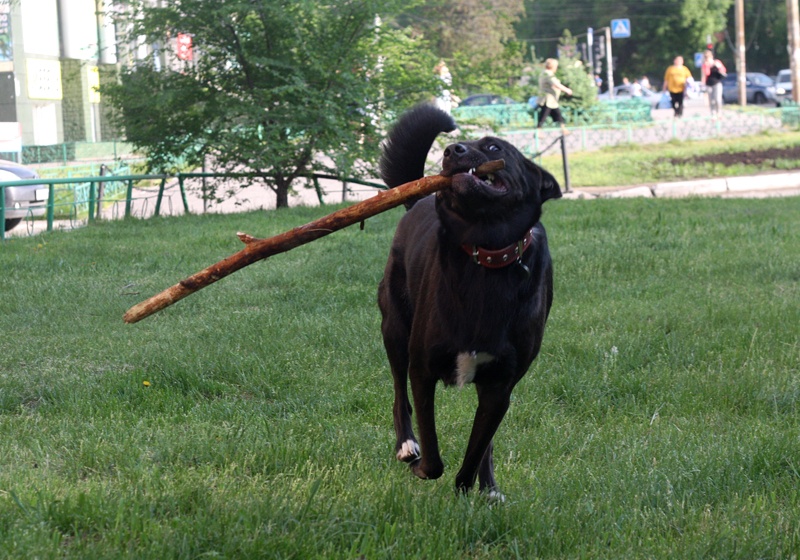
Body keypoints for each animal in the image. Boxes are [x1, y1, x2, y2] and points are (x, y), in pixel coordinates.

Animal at [377, 104, 562, 495]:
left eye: (494, 148)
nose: (451, 151)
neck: (485, 254)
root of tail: (419, 199)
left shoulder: (501, 385)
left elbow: (476, 451)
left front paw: (473, 487)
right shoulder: (422, 369)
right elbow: (433, 453)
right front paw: (422, 468)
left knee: (486, 441)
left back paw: (488, 486)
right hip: (395, 327)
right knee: (399, 394)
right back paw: (406, 446)